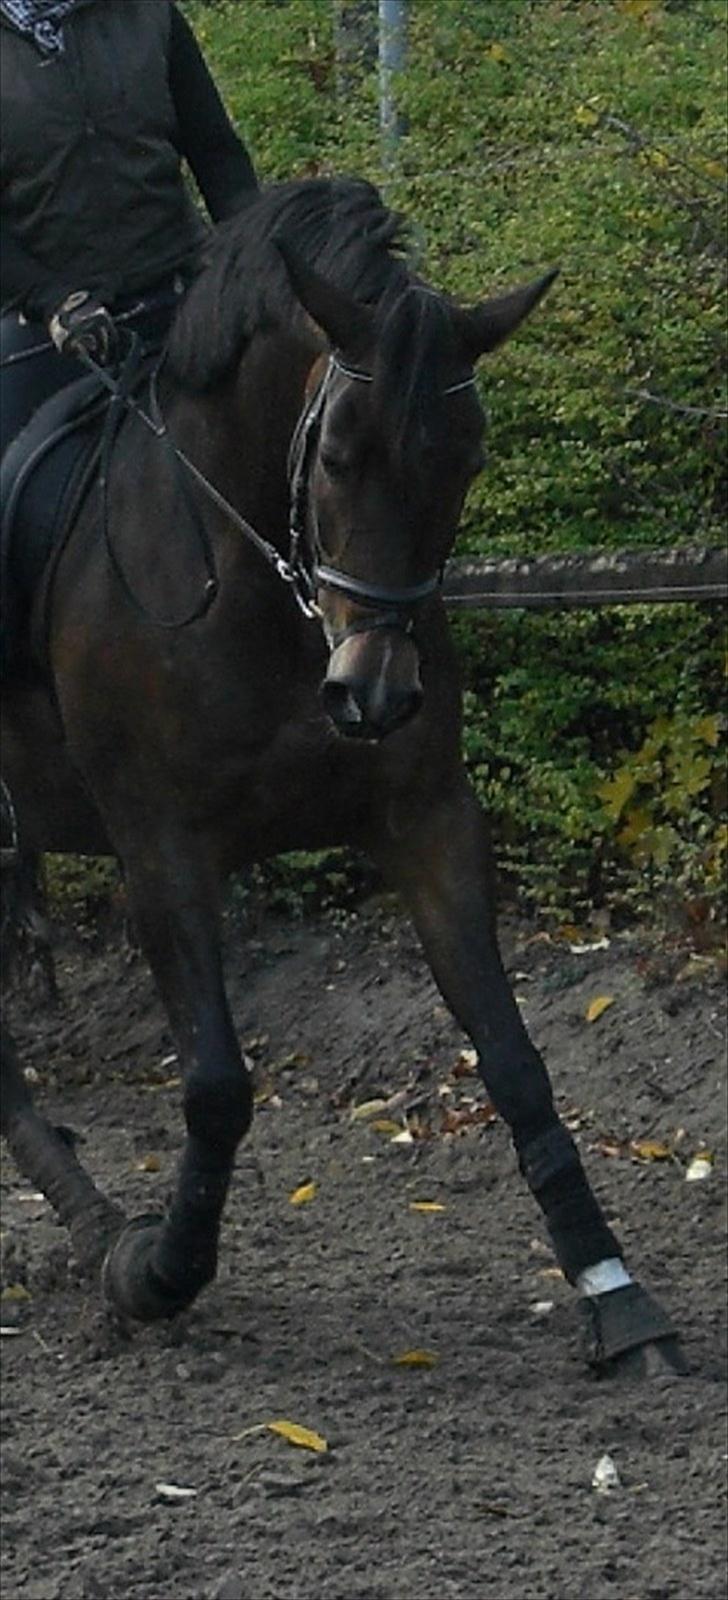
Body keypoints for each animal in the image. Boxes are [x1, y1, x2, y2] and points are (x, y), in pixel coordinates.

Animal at [0, 178, 684, 1376]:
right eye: (336, 455)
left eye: (469, 459)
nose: (372, 694)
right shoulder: (160, 846)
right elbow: (216, 1087)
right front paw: (158, 1268)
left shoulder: (426, 819)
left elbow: (515, 1061)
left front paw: (616, 1293)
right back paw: (99, 1231)